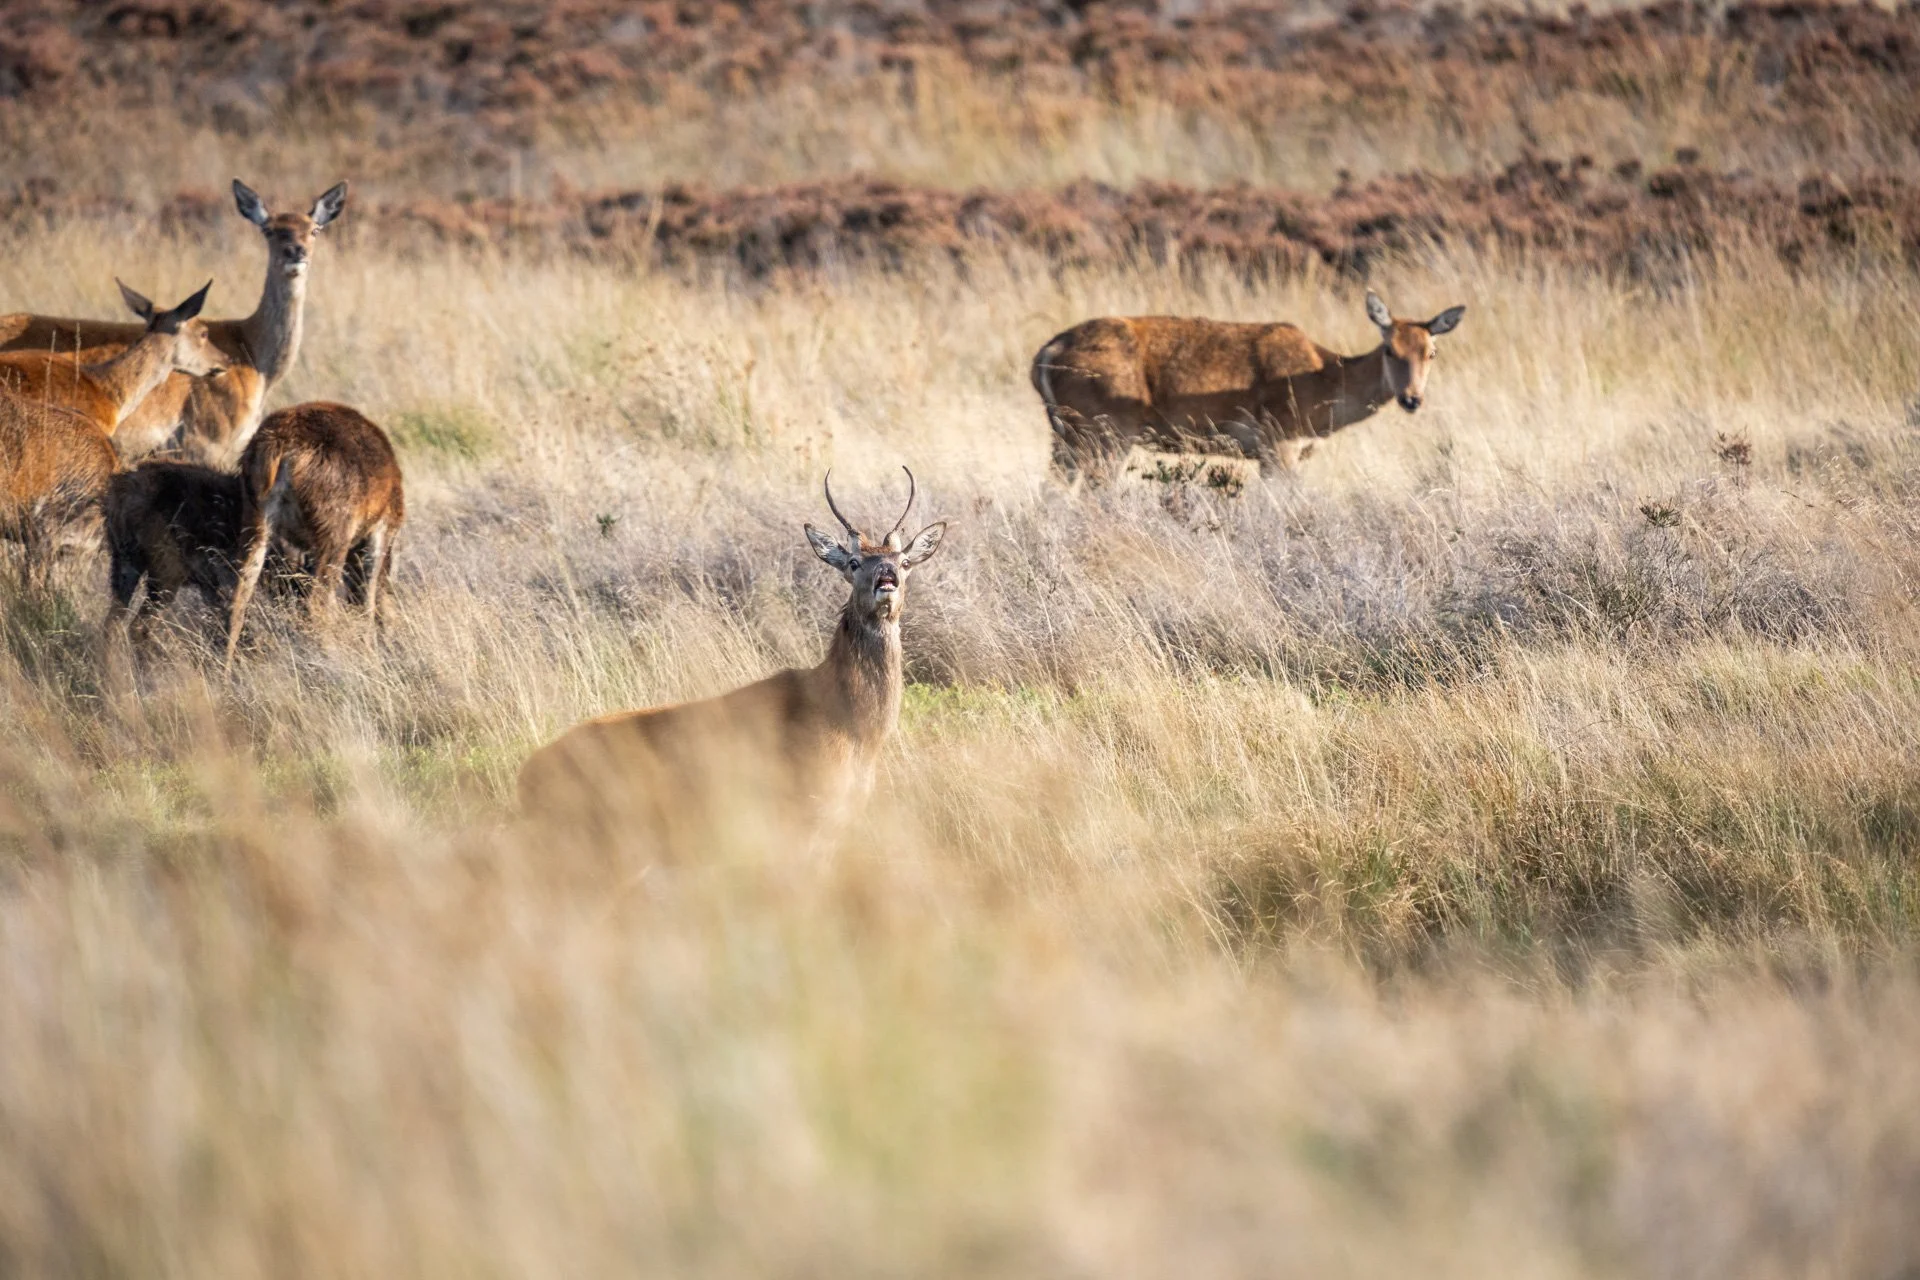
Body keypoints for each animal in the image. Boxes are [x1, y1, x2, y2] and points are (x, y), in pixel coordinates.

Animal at [223, 402, 406, 666]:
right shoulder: (383, 525)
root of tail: (278, 449)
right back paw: (331, 659)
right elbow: (369, 598)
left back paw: (224, 669)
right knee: (318, 602)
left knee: (238, 598)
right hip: (336, 526)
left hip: (254, 517)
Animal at [517, 468, 947, 859]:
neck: (854, 729)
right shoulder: (801, 813)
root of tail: (525, 778)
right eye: (854, 562)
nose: (886, 576)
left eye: (905, 561)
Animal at [1031, 291, 1465, 482]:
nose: (1412, 398)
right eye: (1389, 349)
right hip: (1106, 429)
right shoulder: (1278, 439)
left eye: (1432, 352)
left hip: (1067, 434)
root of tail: (1043, 356)